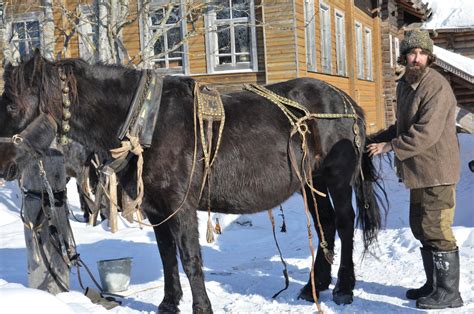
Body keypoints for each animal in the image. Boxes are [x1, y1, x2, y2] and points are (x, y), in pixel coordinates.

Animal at [0, 52, 386, 312]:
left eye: (11, 106)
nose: (2, 164)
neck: (148, 123)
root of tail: (345, 101)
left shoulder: (180, 205)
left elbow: (189, 259)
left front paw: (201, 307)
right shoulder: (158, 210)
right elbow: (167, 258)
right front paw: (169, 304)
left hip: (336, 179)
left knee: (345, 224)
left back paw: (344, 288)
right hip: (310, 183)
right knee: (326, 225)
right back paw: (313, 286)